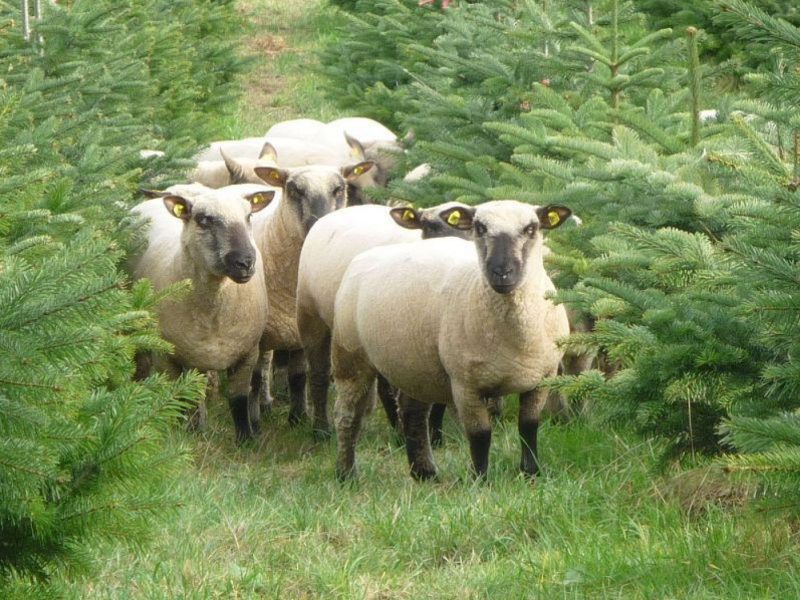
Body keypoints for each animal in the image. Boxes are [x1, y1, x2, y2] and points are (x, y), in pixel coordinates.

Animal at [130, 185, 275, 442]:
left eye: (249, 216)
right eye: (204, 220)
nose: (245, 262)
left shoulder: (247, 353)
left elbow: (238, 400)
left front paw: (246, 440)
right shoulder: (167, 358)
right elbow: (176, 399)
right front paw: (179, 436)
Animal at [250, 161, 374, 425]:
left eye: (339, 188)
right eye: (295, 189)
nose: (320, 225)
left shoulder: (297, 329)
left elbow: (298, 377)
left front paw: (298, 417)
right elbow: (253, 378)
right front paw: (253, 422)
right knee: (263, 365)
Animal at [330, 200, 572, 480]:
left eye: (531, 228)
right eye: (479, 227)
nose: (501, 273)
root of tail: (364, 257)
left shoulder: (543, 377)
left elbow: (529, 426)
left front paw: (531, 473)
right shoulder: (465, 384)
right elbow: (480, 435)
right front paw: (480, 480)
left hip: (415, 362)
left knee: (412, 412)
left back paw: (424, 473)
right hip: (349, 355)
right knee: (348, 416)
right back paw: (346, 474)